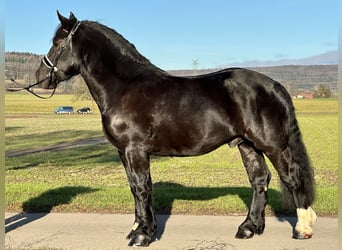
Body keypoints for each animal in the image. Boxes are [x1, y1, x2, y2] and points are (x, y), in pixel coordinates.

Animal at [36, 11, 316, 246]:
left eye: (58, 43)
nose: (41, 76)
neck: (124, 87)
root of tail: (274, 85)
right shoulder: (123, 152)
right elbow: (134, 188)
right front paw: (138, 228)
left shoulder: (135, 150)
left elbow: (142, 187)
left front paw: (143, 235)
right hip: (247, 145)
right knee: (259, 180)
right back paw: (248, 227)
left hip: (272, 145)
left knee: (291, 177)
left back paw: (302, 228)